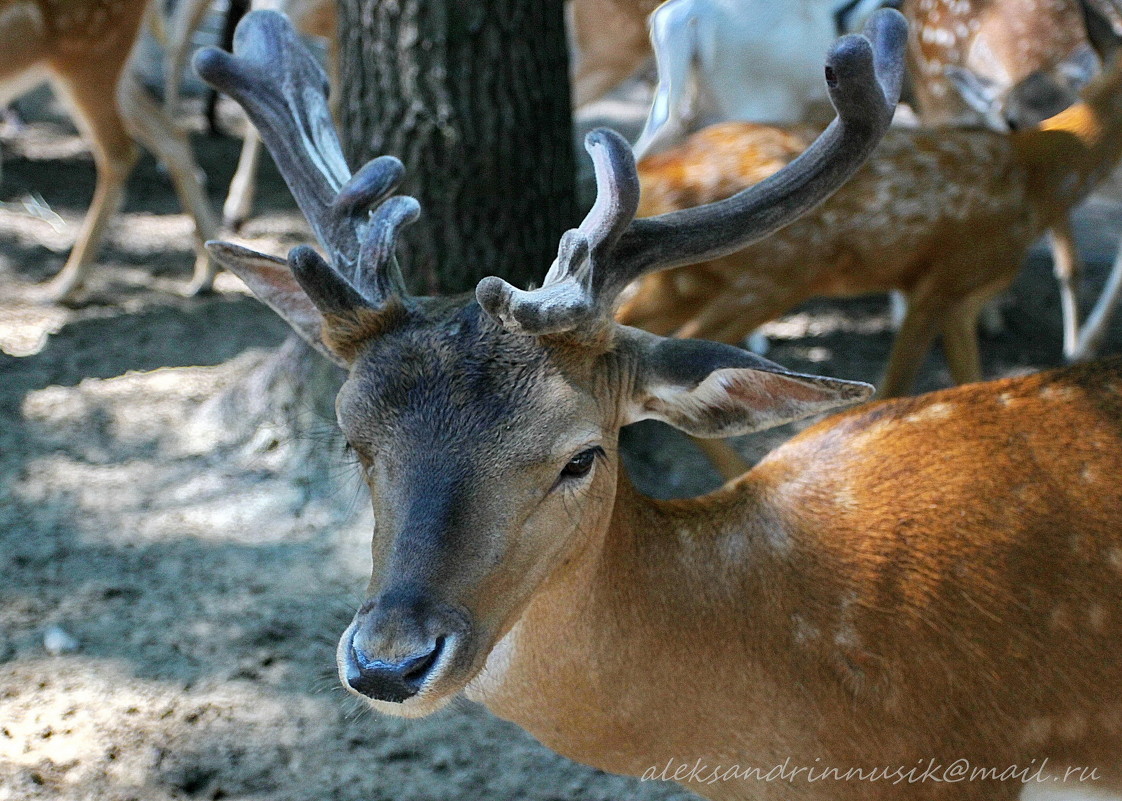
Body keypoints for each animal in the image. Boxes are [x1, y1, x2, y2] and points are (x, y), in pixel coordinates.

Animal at [0, 0, 218, 300]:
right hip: (114, 65)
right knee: (172, 136)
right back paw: (205, 274)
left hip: (89, 51)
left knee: (119, 153)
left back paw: (66, 285)